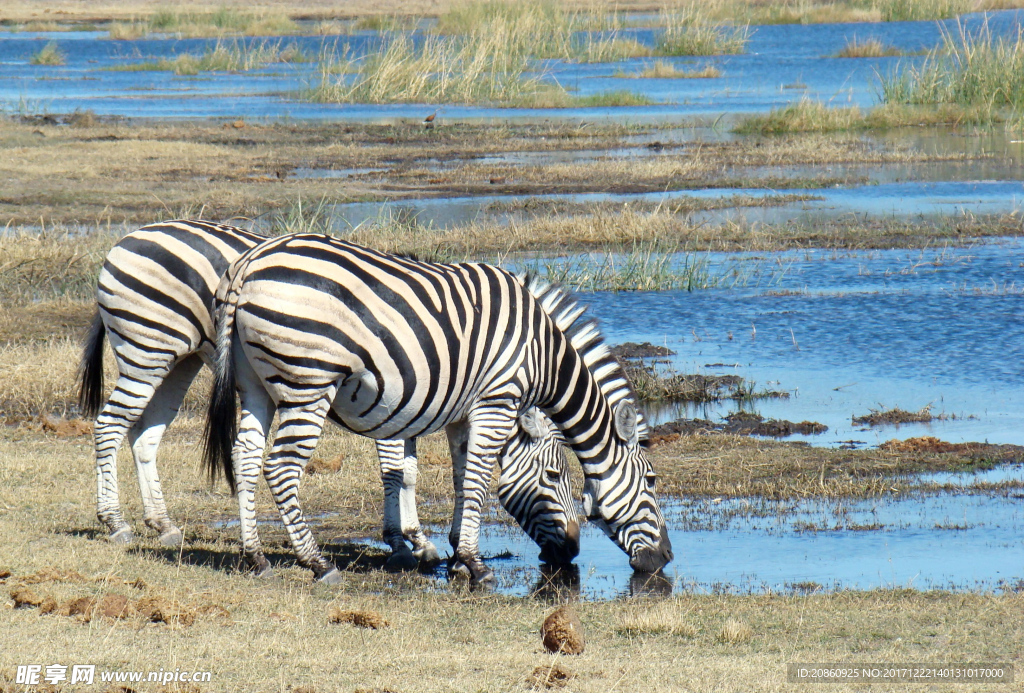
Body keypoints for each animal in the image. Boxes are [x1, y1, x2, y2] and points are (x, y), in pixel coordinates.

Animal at [75, 222, 581, 573]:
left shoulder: (418, 401)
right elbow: (399, 472)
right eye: (555, 475)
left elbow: (409, 470)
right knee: (110, 425)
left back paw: (163, 525)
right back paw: (116, 522)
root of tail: (130, 236)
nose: (573, 550)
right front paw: (407, 542)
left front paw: (418, 540)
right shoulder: (397, 398)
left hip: (178, 360)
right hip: (148, 348)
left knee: (144, 434)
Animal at [205, 232, 671, 585]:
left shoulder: (463, 413)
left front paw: (456, 555)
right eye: (650, 481)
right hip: (309, 382)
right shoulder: (495, 402)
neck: (544, 354)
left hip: (254, 383)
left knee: (245, 458)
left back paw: (256, 557)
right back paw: (317, 563)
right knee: (280, 467)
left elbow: (461, 479)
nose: (665, 558)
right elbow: (477, 481)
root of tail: (249, 262)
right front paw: (475, 565)